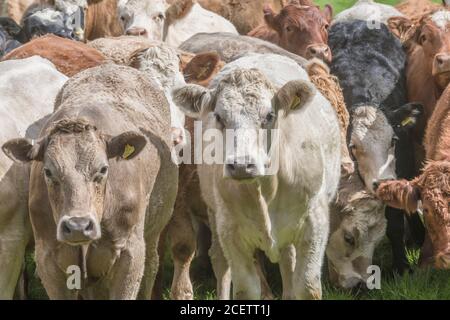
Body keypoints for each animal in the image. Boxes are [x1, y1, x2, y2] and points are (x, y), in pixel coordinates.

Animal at [173, 53, 342, 298]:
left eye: (269, 115)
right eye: (219, 117)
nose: (242, 165)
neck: (266, 188)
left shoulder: (314, 225)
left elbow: (307, 286)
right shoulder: (231, 233)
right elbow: (245, 289)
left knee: (287, 261)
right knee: (220, 261)